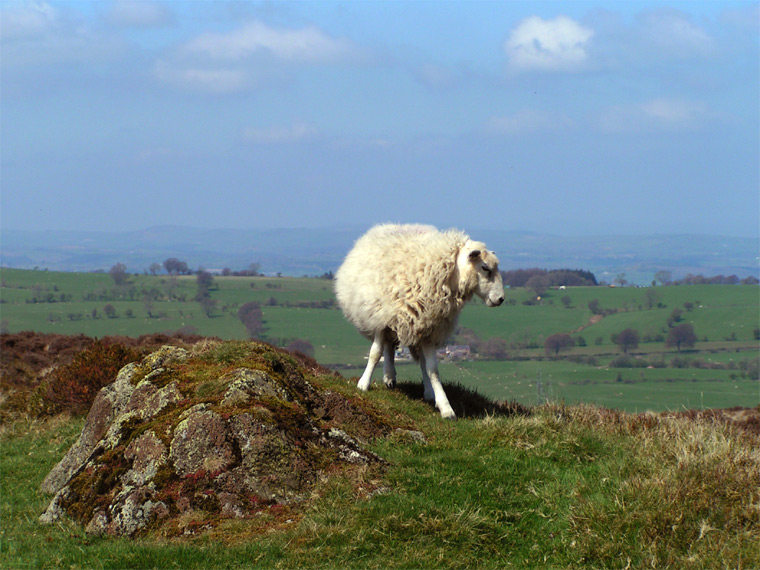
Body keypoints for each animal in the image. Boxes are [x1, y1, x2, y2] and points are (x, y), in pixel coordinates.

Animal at [334, 223, 504, 419]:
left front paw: (445, 406)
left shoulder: (430, 328)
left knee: (406, 354)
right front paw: (363, 384)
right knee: (387, 347)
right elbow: (375, 353)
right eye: (485, 268)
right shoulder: (381, 319)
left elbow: (432, 369)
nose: (501, 299)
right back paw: (389, 375)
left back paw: (419, 388)